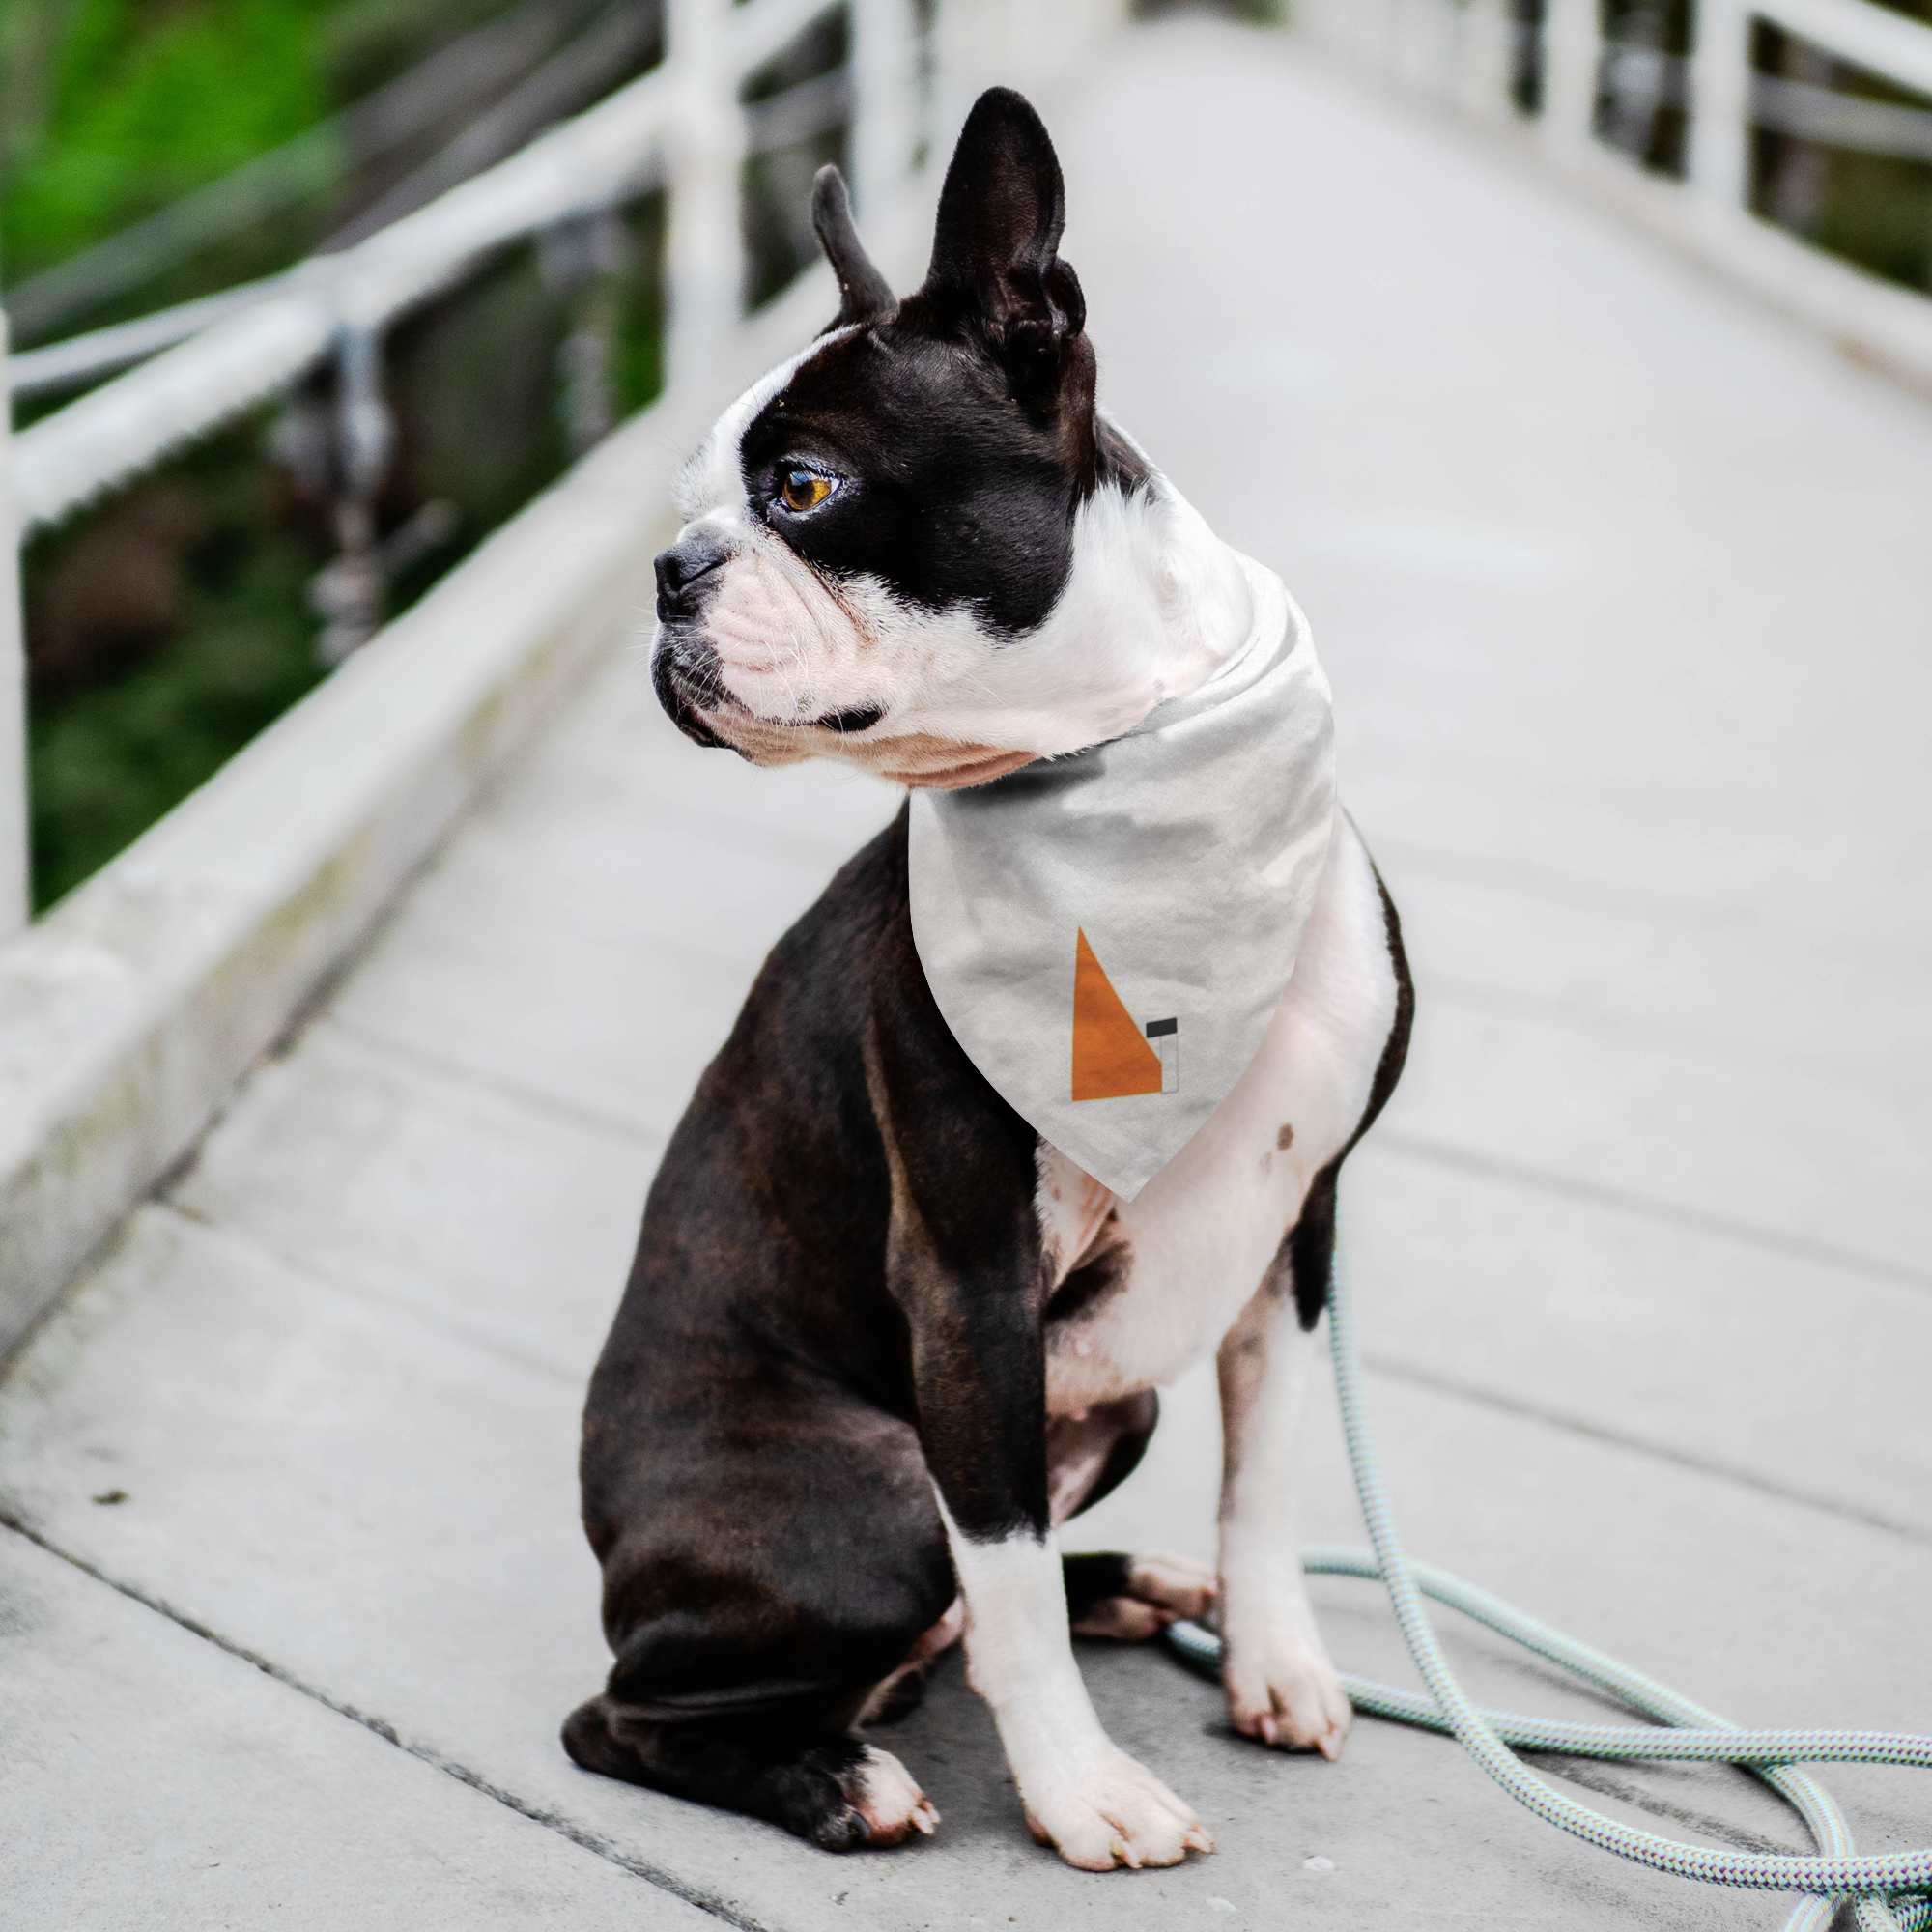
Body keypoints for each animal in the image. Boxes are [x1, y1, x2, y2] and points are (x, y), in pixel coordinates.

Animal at [564, 83, 1414, 1862]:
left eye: (802, 488)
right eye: (695, 500)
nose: (670, 571)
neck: (1130, 766)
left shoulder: (1297, 1235)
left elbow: (1268, 1477)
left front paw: (1277, 1660)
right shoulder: (967, 1279)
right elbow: (1006, 1574)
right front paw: (1083, 1793)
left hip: (1115, 1406)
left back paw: (1139, 1586)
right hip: (876, 1495)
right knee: (640, 1710)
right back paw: (835, 1777)